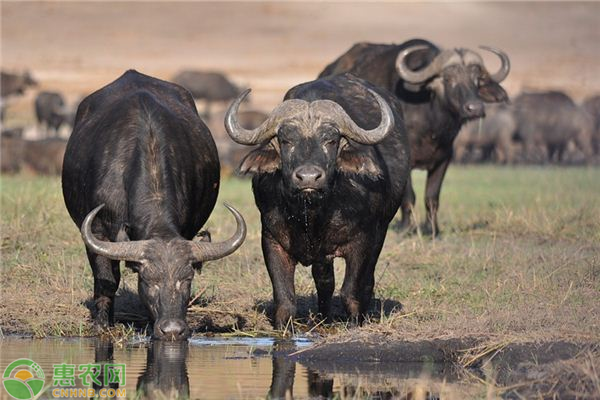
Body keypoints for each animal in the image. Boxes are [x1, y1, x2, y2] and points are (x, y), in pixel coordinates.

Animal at [62, 70, 246, 340]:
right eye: (149, 281)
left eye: (187, 280)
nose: (173, 329)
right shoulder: (96, 231)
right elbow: (106, 279)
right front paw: (102, 325)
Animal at [225, 74, 408, 328]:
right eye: (286, 140)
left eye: (330, 141)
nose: (309, 177)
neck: (312, 214)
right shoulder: (272, 240)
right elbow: (284, 297)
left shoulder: (363, 241)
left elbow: (351, 291)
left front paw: (355, 322)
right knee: (324, 281)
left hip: (381, 232)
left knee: (365, 280)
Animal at [318, 38, 510, 234]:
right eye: (448, 79)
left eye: (477, 81)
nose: (475, 108)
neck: (431, 124)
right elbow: (408, 197)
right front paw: (406, 228)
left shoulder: (444, 158)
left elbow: (432, 197)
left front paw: (433, 230)